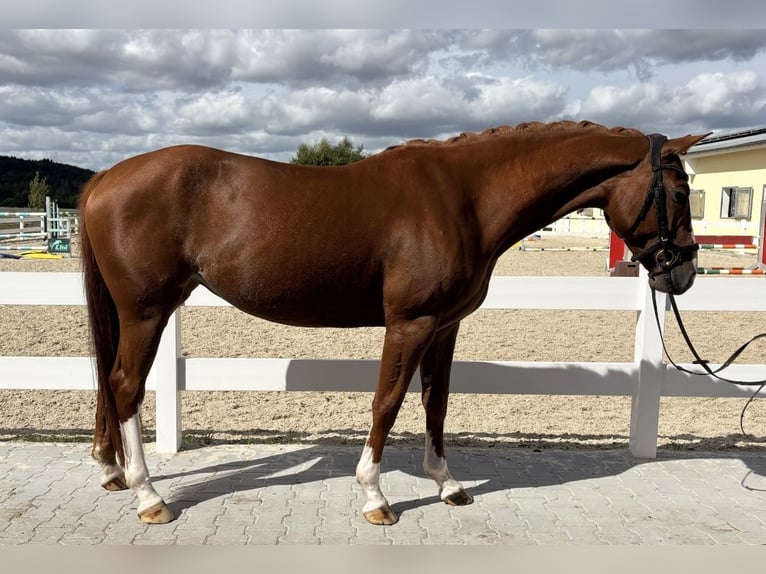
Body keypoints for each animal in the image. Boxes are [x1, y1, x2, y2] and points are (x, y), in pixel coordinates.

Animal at [78, 120, 708, 526]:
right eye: (681, 193)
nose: (682, 274)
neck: (464, 199)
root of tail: (105, 176)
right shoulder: (410, 323)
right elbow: (387, 401)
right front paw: (374, 497)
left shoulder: (446, 326)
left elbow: (435, 402)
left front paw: (448, 484)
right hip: (146, 311)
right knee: (125, 386)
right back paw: (148, 497)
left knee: (109, 383)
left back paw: (112, 472)